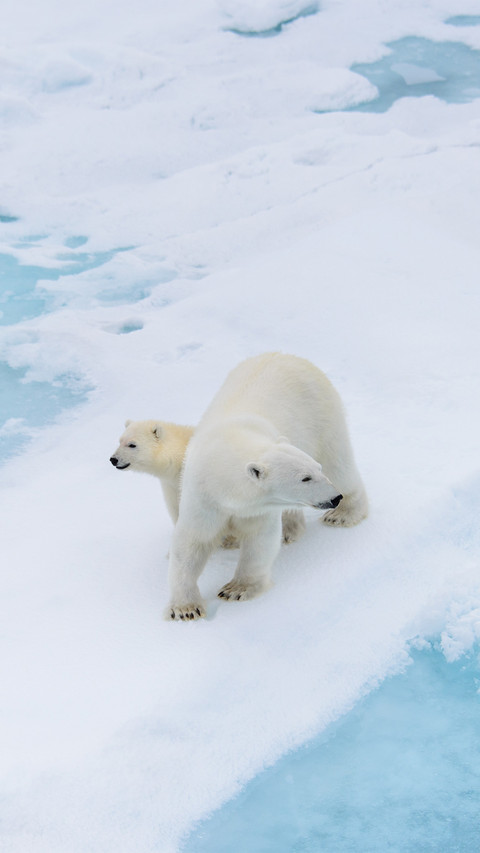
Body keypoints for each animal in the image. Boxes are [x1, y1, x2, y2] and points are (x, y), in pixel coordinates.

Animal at [166, 352, 368, 621]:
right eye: (305, 478)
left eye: (317, 470)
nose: (334, 497)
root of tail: (288, 355)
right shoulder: (203, 498)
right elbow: (192, 542)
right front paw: (185, 609)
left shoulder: (257, 508)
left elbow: (259, 541)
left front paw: (235, 590)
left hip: (321, 415)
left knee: (339, 464)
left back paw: (342, 514)